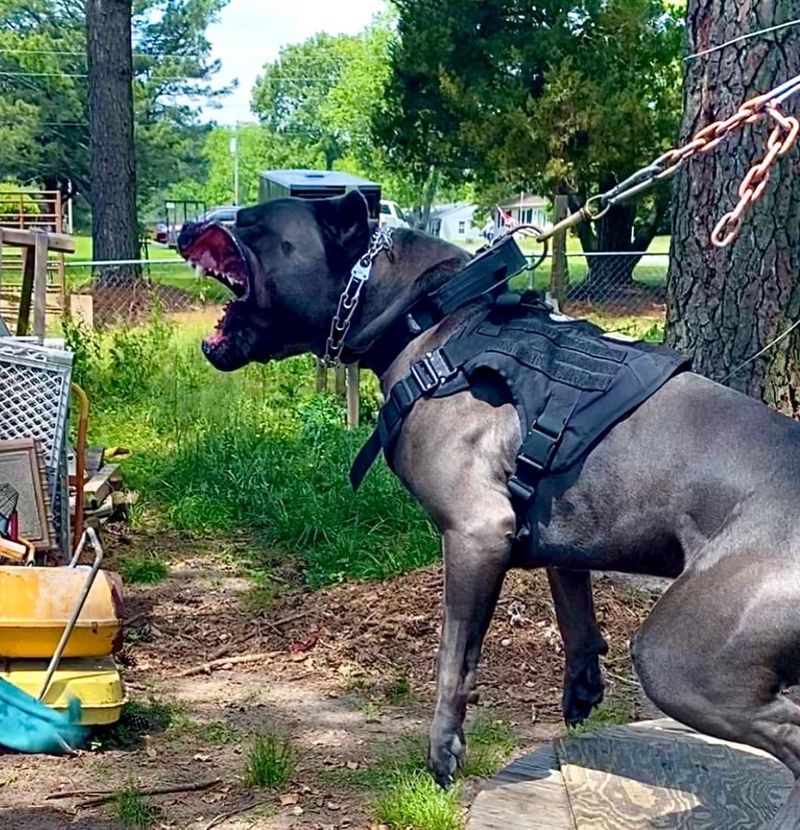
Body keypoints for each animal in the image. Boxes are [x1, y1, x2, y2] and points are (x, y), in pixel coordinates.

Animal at [181, 192, 800, 828]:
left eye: (251, 220)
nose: (183, 227)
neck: (422, 313)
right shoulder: (563, 525)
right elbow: (572, 605)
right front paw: (582, 685)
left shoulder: (475, 532)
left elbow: (453, 656)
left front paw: (443, 748)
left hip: (679, 659)